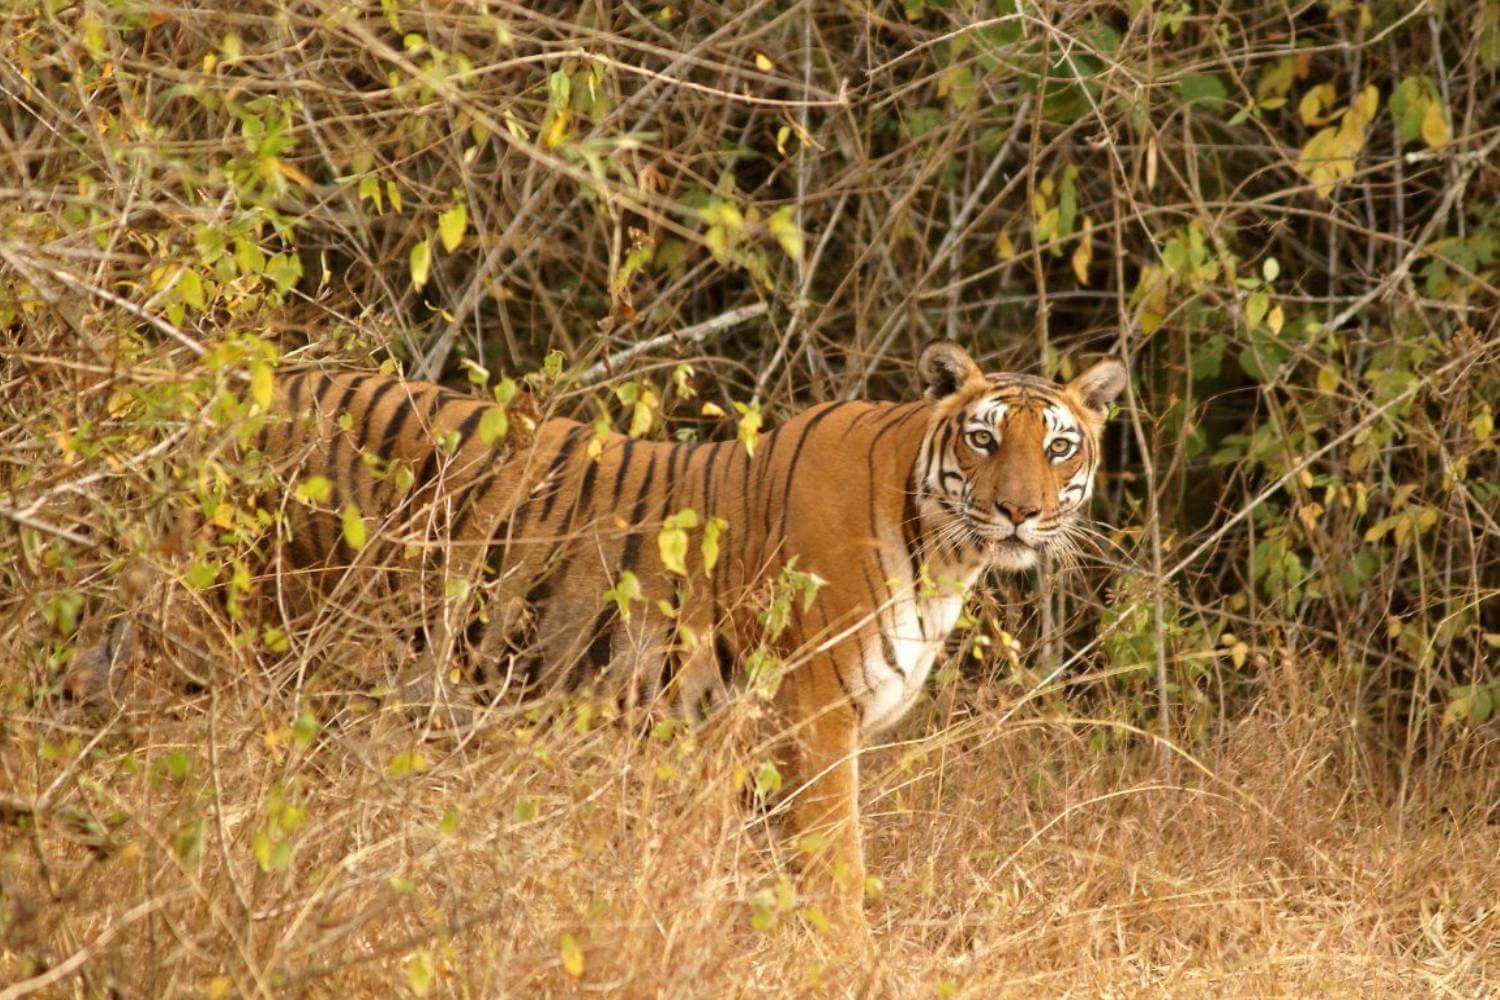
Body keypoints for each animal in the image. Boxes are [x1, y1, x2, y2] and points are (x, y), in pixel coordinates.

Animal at [243, 341, 1128, 941]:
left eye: (1058, 447)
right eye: (983, 440)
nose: (1018, 512)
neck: (945, 552)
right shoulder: (815, 720)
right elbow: (836, 869)